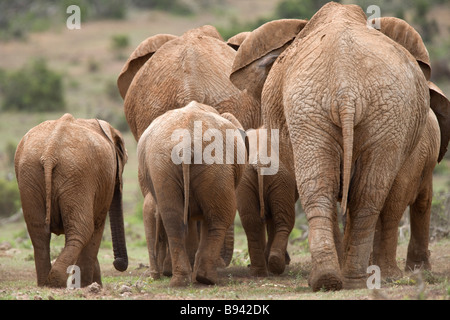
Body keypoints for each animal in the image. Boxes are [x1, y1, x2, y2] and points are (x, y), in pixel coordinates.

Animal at [14, 113, 127, 288]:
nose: (119, 263)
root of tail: (50, 153)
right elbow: (97, 227)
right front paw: (89, 286)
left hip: (30, 175)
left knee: (38, 232)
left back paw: (45, 283)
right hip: (79, 176)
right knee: (83, 229)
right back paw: (57, 282)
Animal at [139, 101, 248, 286]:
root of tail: (185, 141)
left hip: (165, 164)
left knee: (173, 220)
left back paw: (180, 281)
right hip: (213, 163)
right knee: (219, 219)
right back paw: (206, 279)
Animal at [230, 2, 450, 292]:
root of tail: (347, 90)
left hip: (359, 110)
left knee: (345, 191)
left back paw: (337, 279)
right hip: (355, 111)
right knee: (357, 192)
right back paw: (344, 279)